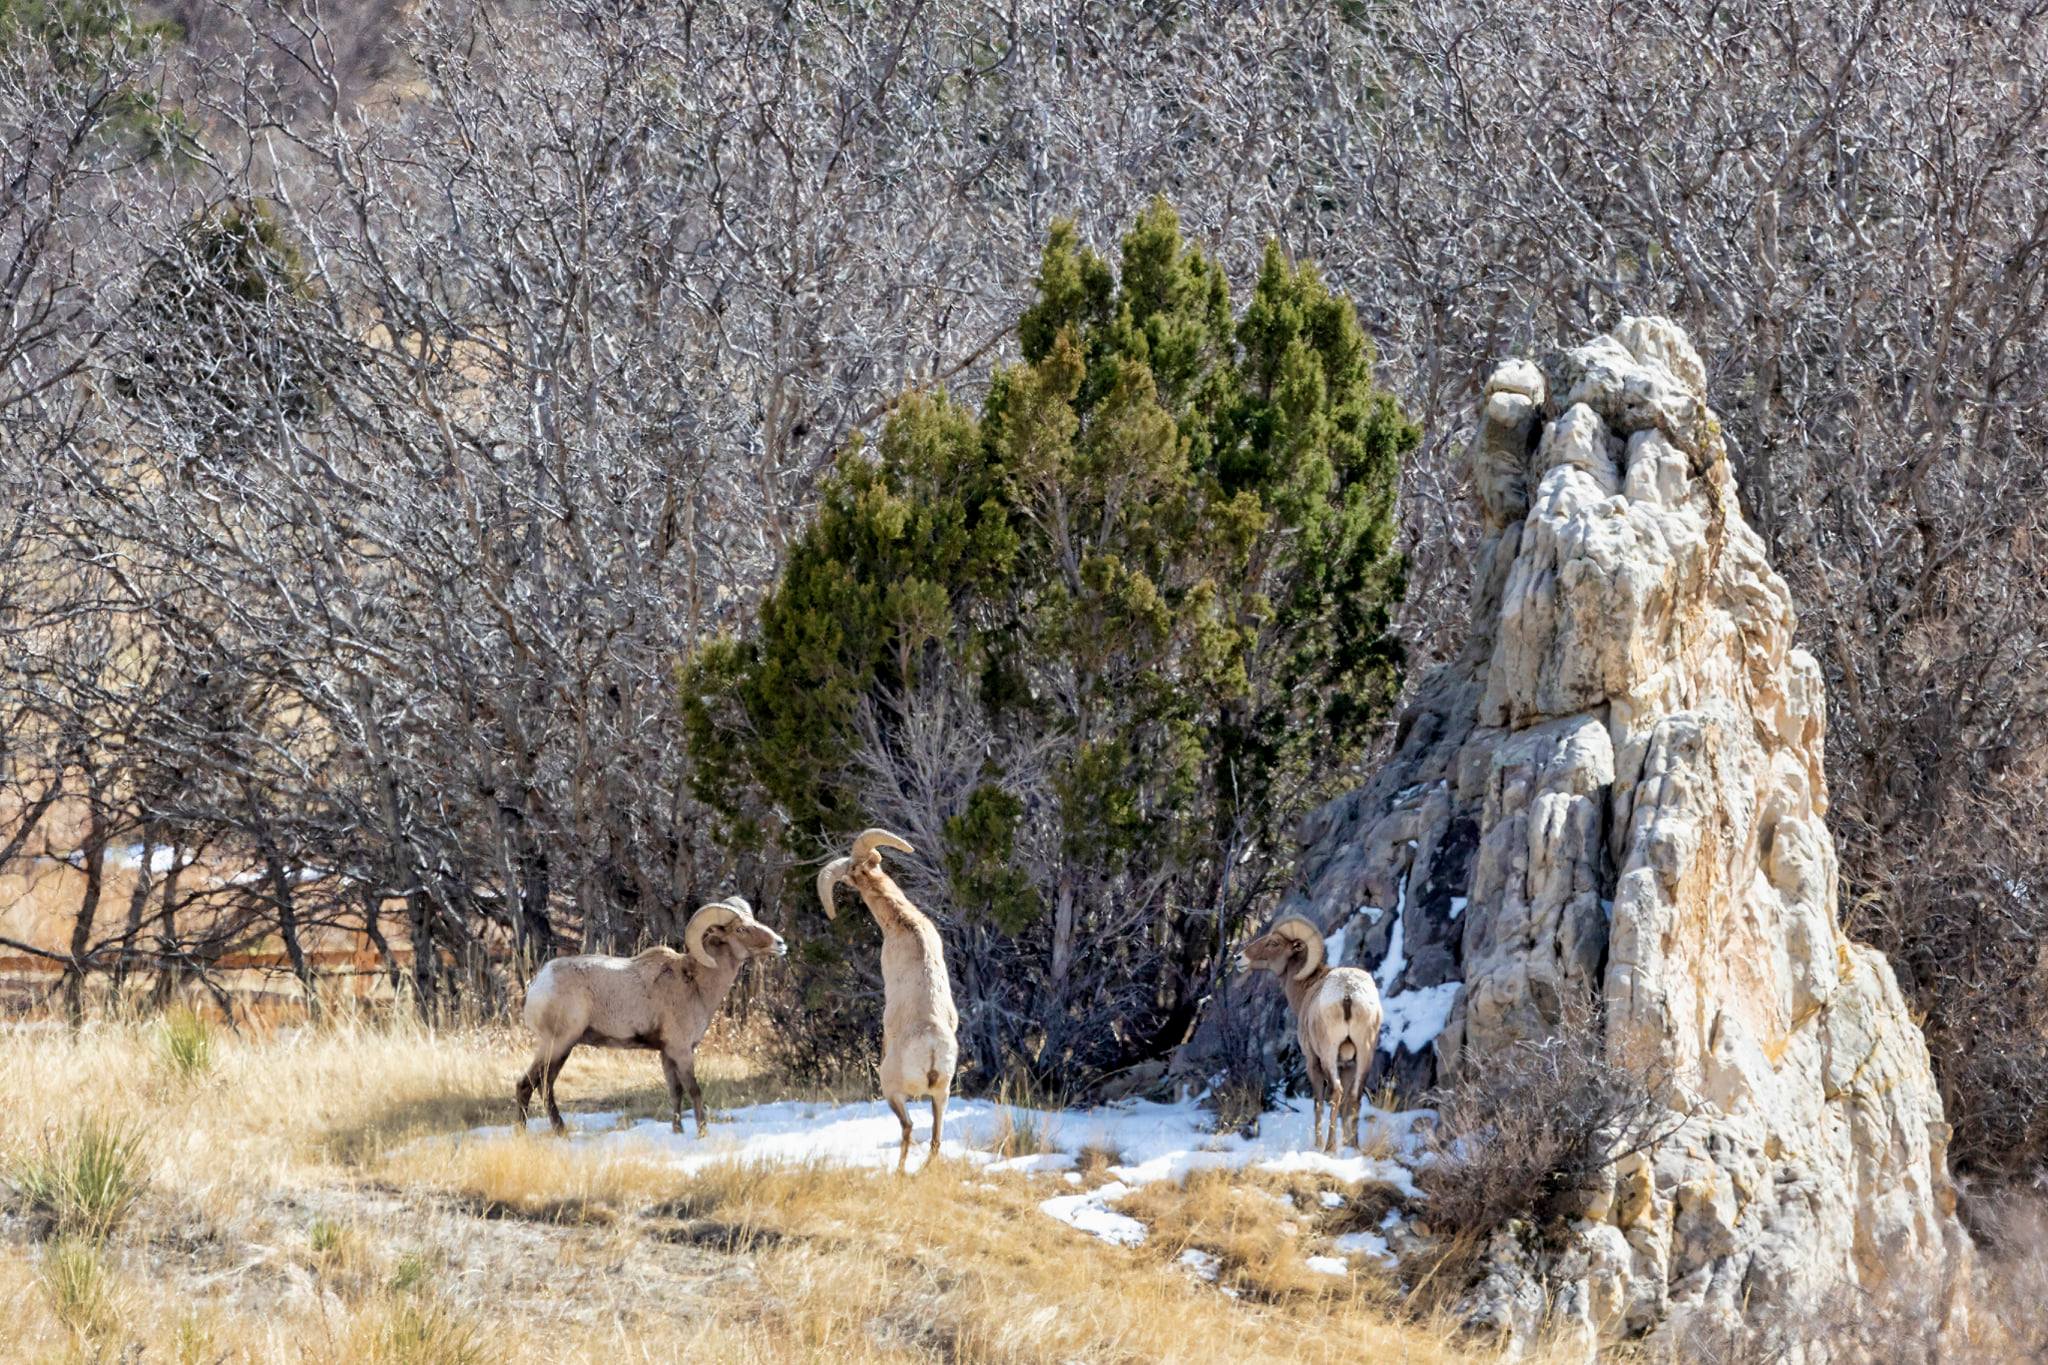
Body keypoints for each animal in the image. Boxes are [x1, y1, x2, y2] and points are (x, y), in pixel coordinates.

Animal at [514, 896, 785, 1136]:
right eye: (741, 928)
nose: (780, 943)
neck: (696, 983)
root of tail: (539, 983)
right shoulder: (681, 1050)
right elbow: (694, 1091)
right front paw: (701, 1133)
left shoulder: (666, 1053)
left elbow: (675, 1091)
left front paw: (678, 1131)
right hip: (557, 1043)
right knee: (526, 1085)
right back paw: (526, 1134)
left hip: (563, 1049)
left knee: (545, 1086)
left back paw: (560, 1132)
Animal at [816, 828, 959, 1173]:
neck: (905, 923)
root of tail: (931, 1049)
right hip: (943, 1093)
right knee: (935, 1136)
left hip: (892, 1090)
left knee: (907, 1127)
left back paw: (898, 1171)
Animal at [1237, 914, 1384, 1154]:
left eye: (1273, 943)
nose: (1238, 957)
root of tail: (1348, 994)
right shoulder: (1348, 1065)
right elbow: (1346, 1106)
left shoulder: (1312, 1061)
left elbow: (1317, 1103)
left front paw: (1317, 1144)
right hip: (1364, 1055)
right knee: (1354, 1097)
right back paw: (1354, 1147)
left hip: (1328, 1056)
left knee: (1336, 1093)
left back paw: (1329, 1147)